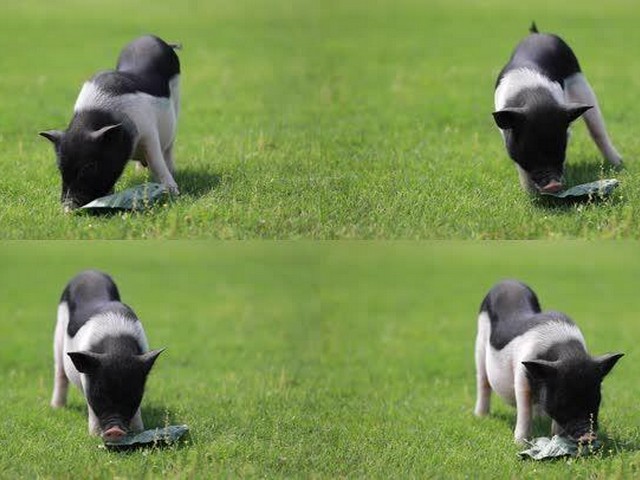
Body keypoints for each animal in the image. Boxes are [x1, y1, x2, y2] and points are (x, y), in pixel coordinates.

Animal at [39, 34, 180, 211]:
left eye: (90, 167)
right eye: (60, 167)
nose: (67, 208)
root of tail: (152, 38)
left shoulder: (149, 132)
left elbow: (156, 162)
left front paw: (174, 193)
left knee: (169, 148)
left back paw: (172, 171)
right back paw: (140, 173)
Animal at [51, 268, 164, 440]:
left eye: (133, 395)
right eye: (99, 394)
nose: (115, 430)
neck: (116, 348)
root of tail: (90, 270)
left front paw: (139, 430)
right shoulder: (87, 381)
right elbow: (91, 409)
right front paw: (94, 436)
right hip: (58, 333)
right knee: (60, 373)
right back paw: (56, 407)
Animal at [476, 280, 624, 444]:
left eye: (596, 398)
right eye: (563, 401)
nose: (588, 437)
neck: (567, 350)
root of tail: (507, 280)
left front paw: (557, 437)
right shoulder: (521, 376)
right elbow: (524, 409)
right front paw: (520, 443)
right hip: (480, 342)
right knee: (483, 382)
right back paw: (480, 416)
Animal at [492, 23, 624, 193]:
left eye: (561, 147)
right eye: (529, 149)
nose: (554, 185)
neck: (534, 96)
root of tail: (537, 33)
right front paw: (529, 192)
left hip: (581, 84)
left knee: (597, 130)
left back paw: (618, 162)